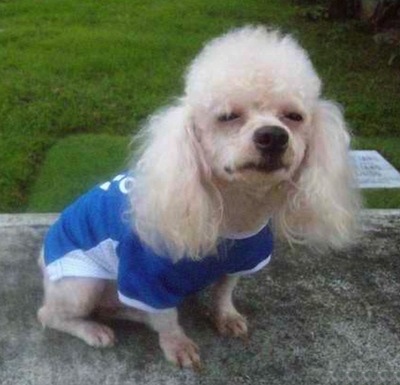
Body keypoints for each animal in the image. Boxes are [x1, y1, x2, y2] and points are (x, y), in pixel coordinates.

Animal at [37, 25, 360, 368]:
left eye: (294, 117)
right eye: (228, 116)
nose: (273, 136)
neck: (234, 210)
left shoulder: (242, 260)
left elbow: (224, 292)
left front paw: (225, 317)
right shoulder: (146, 276)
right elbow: (166, 317)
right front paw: (177, 345)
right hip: (80, 285)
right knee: (49, 314)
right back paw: (93, 330)